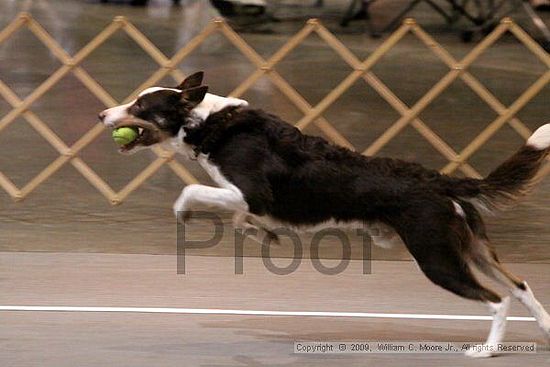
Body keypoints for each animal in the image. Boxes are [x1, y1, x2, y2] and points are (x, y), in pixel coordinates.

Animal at [100, 70, 550, 358]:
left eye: (140, 105)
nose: (102, 115)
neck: (210, 122)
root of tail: (442, 182)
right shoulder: (245, 201)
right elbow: (240, 219)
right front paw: (260, 235)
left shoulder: (251, 194)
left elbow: (192, 191)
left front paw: (187, 214)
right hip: (473, 248)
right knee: (521, 285)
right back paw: (545, 329)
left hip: (437, 258)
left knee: (497, 299)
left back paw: (486, 351)